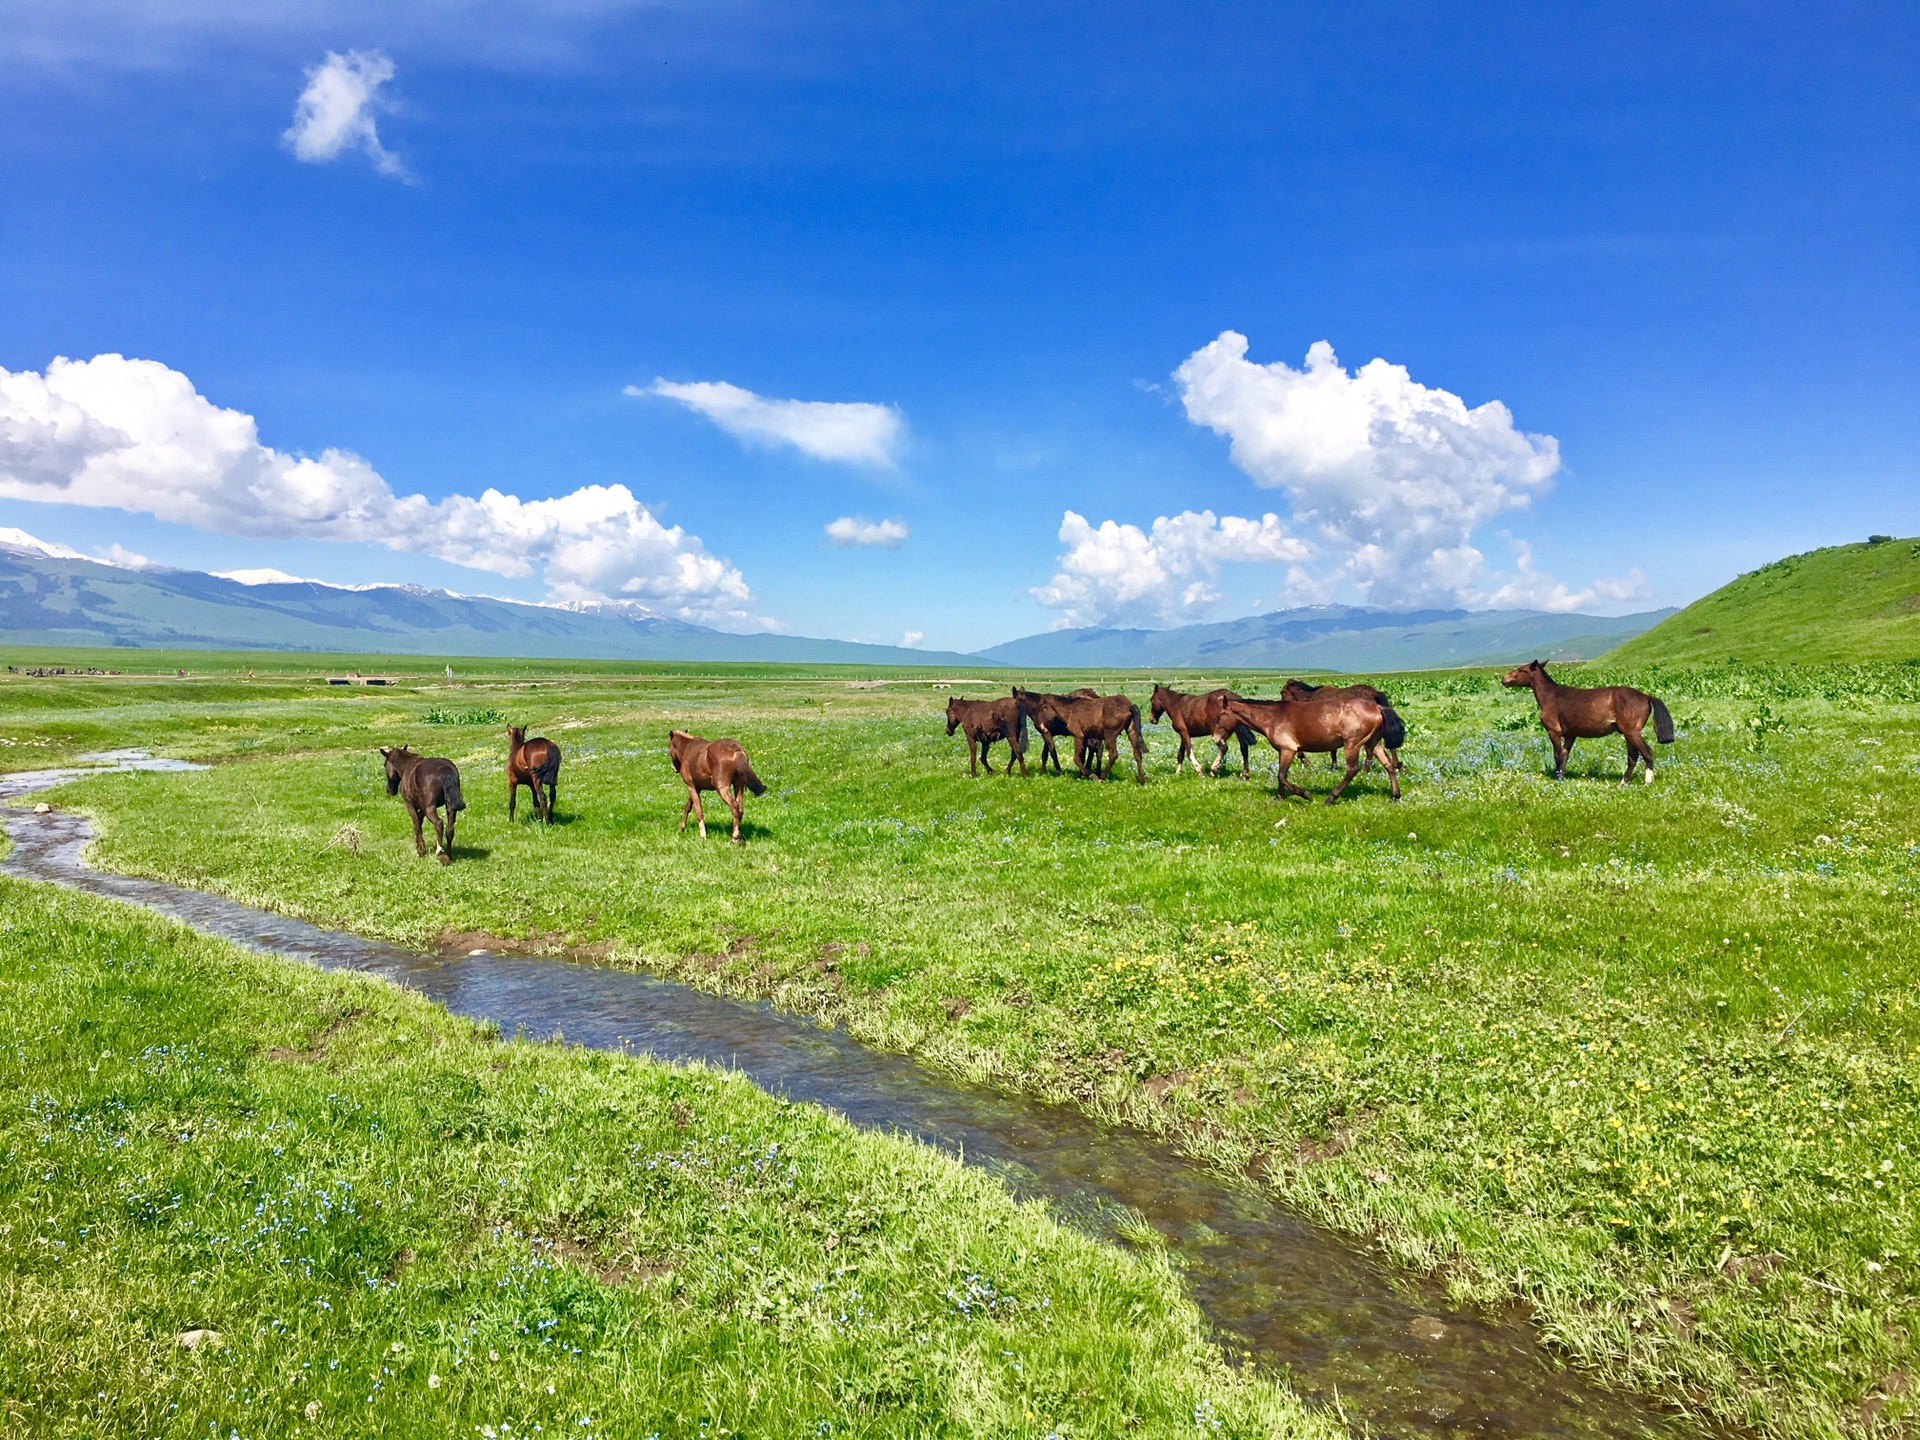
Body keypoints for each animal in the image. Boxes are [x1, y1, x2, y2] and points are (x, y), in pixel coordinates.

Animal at [1013, 691, 1144, 791]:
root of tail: (1129, 705)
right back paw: (1141, 780)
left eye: (1044, 707)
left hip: (1109, 735)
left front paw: (1089, 775)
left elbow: (1073, 757)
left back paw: (1102, 777)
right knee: (1137, 754)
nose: (1042, 725)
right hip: (1130, 731)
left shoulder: (1078, 736)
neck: (1071, 709)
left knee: (1112, 754)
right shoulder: (1082, 737)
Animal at [1221, 695, 1405, 806]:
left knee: (1352, 769)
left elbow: (1282, 775)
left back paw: (1330, 798)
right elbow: (1280, 775)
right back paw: (1395, 796)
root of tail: (1378, 708)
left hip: (1352, 744)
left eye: (1220, 715)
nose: (1218, 740)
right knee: (1389, 765)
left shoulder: (1289, 749)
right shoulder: (1282, 751)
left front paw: (1305, 794)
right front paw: (1279, 797)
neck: (1273, 718)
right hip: (1373, 743)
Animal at [1489, 660, 1674, 783]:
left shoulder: (1554, 731)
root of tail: (1646, 696)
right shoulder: (1571, 735)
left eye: (1521, 669)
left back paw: (1647, 782)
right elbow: (1565, 755)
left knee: (1647, 753)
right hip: (1628, 734)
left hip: (1632, 732)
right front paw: (1562, 776)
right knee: (1633, 757)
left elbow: (1557, 755)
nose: (1504, 679)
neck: (1551, 697)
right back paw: (1623, 783)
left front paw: (1558, 779)